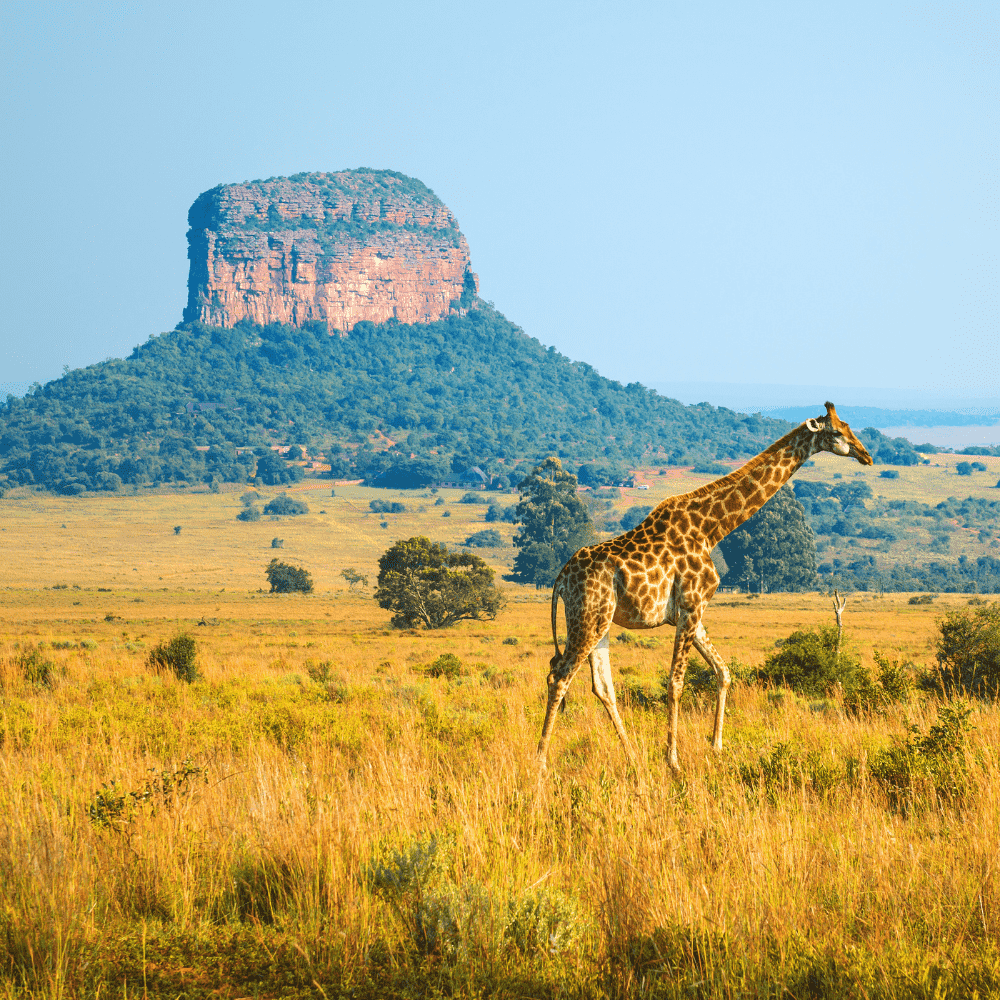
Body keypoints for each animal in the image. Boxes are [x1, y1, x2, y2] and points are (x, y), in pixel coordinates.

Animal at [536, 402, 873, 773]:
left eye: (849, 426)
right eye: (837, 431)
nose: (866, 455)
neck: (712, 529)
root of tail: (561, 579)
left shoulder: (693, 613)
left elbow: (722, 672)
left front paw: (716, 746)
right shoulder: (691, 606)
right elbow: (676, 682)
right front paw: (673, 760)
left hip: (601, 622)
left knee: (602, 686)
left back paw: (633, 758)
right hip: (587, 618)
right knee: (559, 677)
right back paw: (540, 763)